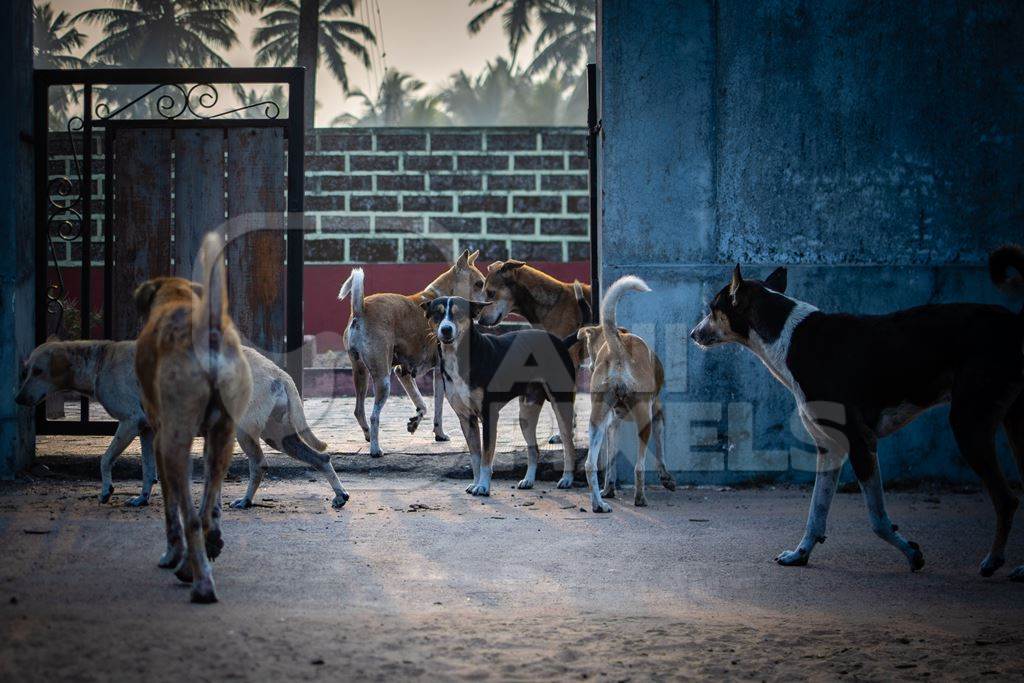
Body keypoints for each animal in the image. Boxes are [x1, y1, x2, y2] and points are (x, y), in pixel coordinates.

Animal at [134, 233, 251, 602]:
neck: (176, 296)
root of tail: (209, 329)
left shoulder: (159, 438)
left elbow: (170, 508)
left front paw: (171, 553)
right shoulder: (213, 437)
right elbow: (211, 502)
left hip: (174, 443)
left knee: (191, 519)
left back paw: (197, 579)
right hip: (226, 437)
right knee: (205, 511)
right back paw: (204, 552)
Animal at [337, 248, 485, 456]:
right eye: (479, 283)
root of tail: (361, 309)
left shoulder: (403, 372)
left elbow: (422, 404)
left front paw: (416, 424)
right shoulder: (439, 374)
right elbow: (438, 407)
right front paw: (439, 433)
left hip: (360, 373)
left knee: (359, 411)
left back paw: (367, 436)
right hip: (383, 379)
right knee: (374, 416)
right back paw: (375, 449)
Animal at [417, 296, 581, 493]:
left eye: (459, 314)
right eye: (437, 313)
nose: (446, 329)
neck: (459, 357)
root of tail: (560, 343)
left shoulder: (489, 415)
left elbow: (487, 456)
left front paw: (483, 486)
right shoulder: (466, 418)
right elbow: (475, 457)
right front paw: (476, 483)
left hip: (561, 402)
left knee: (569, 444)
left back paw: (567, 479)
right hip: (526, 412)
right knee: (534, 449)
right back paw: (528, 480)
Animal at [581, 274, 675, 509]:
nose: (589, 367)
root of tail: (618, 348)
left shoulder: (611, 424)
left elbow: (610, 462)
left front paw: (609, 489)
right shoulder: (657, 413)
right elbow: (661, 449)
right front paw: (666, 478)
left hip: (596, 420)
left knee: (590, 464)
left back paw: (599, 504)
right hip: (644, 419)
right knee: (639, 467)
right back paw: (640, 497)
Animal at [688, 244, 1024, 577]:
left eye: (713, 309)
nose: (692, 333)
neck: (788, 337)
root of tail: (1015, 321)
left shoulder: (861, 442)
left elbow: (877, 520)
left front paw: (911, 553)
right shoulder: (830, 448)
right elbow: (816, 513)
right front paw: (800, 554)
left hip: (969, 423)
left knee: (1006, 499)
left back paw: (993, 560)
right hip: (1010, 422)